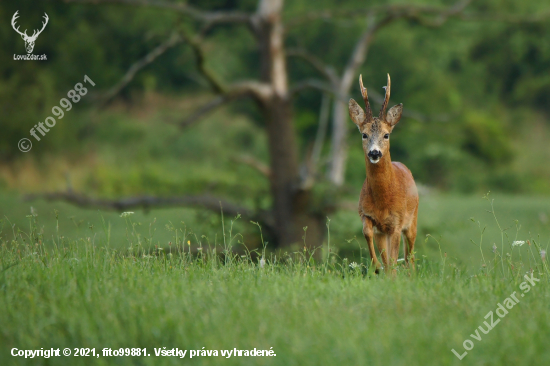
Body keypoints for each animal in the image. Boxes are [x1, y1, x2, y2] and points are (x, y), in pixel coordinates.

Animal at [352, 73, 420, 272]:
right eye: (364, 134)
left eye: (386, 134)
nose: (374, 153)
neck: (383, 202)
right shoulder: (366, 214)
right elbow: (367, 233)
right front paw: (375, 266)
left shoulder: (396, 223)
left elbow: (393, 258)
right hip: (384, 232)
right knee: (394, 259)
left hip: (412, 220)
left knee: (409, 257)